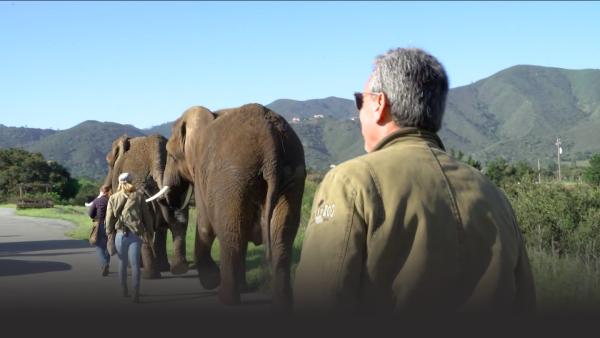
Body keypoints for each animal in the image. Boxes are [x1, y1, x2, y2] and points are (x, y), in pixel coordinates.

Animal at [103, 133, 192, 278]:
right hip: (179, 188)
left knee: (142, 226)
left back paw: (149, 275)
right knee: (180, 222)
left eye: (109, 161)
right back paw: (177, 269)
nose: (104, 189)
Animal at [145, 103, 304, 312]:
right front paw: (242, 288)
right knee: (281, 237)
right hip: (291, 174)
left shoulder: (201, 173)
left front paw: (210, 281)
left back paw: (226, 299)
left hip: (232, 178)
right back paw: (282, 304)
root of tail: (271, 143)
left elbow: (205, 225)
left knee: (232, 235)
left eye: (171, 155)